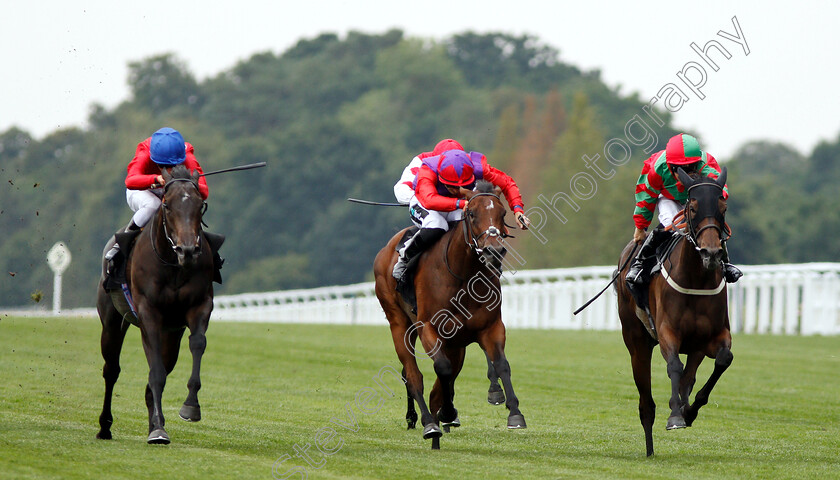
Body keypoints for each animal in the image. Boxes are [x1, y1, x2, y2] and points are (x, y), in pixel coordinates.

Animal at [94, 166, 218, 446]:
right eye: (167, 205)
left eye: (200, 206)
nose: (187, 250)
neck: (174, 266)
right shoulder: (148, 312)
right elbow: (156, 373)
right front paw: (159, 431)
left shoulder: (199, 306)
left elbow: (198, 344)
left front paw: (190, 407)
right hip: (111, 322)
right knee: (111, 370)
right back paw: (105, 426)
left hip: (171, 334)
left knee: (158, 371)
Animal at [374, 180, 524, 450]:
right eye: (471, 213)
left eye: (502, 213)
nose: (494, 251)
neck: (463, 275)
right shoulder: (428, 327)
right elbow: (442, 370)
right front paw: (443, 415)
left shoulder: (489, 327)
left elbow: (501, 364)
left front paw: (514, 413)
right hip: (399, 323)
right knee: (412, 374)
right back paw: (426, 423)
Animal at [612, 167, 732, 456]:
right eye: (693, 208)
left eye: (723, 207)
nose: (711, 253)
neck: (696, 279)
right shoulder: (668, 332)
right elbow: (674, 366)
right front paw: (676, 415)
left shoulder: (715, 335)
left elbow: (723, 359)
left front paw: (688, 412)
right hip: (636, 342)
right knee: (646, 402)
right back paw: (649, 448)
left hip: (696, 345)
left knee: (690, 375)